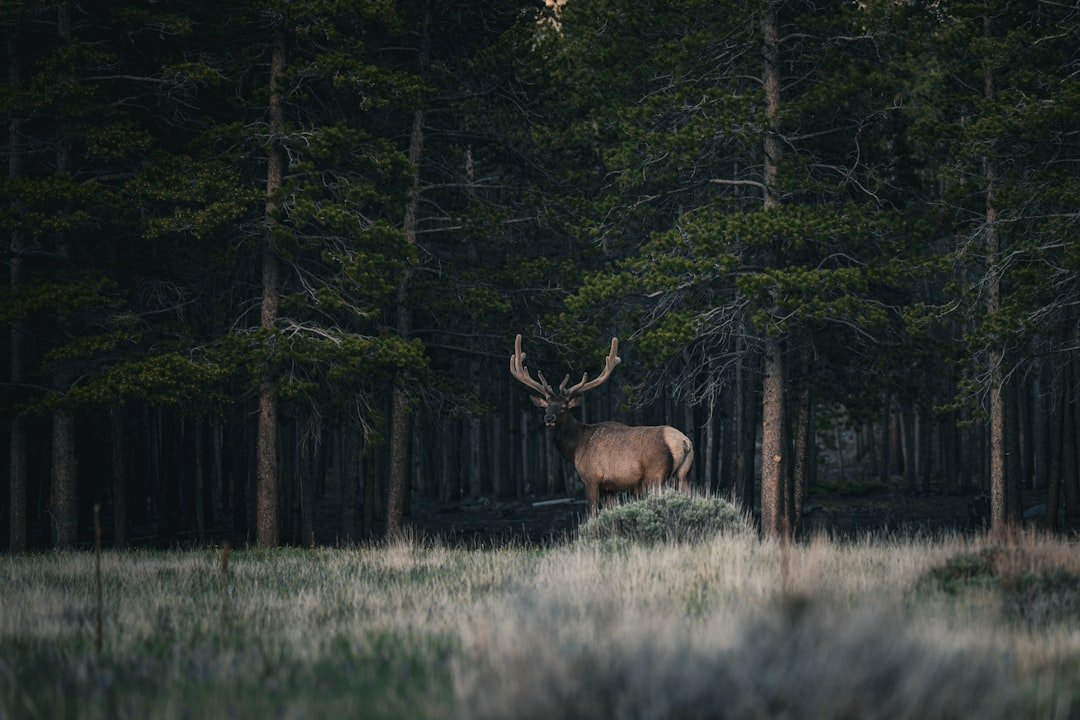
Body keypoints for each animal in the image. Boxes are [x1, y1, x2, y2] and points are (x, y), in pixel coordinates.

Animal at [510, 334, 694, 514]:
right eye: (546, 406)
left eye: (563, 408)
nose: (549, 418)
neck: (575, 447)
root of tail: (684, 442)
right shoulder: (610, 487)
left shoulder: (592, 478)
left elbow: (592, 513)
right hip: (683, 474)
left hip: (655, 474)